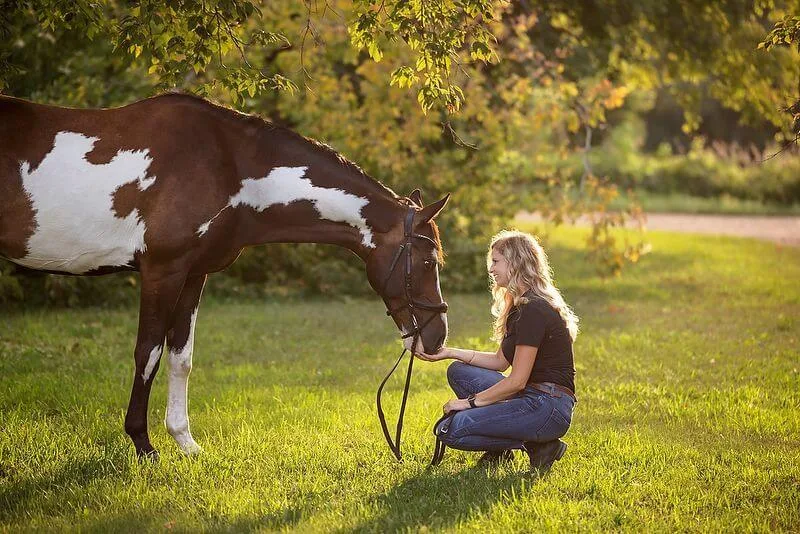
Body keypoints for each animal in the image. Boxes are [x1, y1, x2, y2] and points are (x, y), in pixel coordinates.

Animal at [0, 93, 449, 459]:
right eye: (428, 262)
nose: (437, 337)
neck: (226, 167)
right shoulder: (162, 270)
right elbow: (148, 354)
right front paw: (143, 445)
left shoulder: (193, 274)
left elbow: (181, 358)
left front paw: (184, 442)